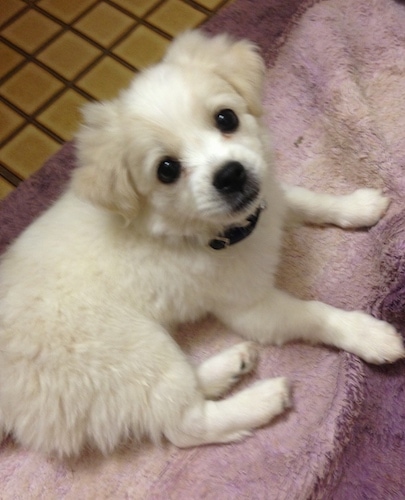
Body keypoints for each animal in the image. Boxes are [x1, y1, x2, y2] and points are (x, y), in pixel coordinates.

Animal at [0, 31, 404, 458]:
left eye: (226, 118)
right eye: (166, 170)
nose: (230, 175)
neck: (219, 232)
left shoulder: (268, 199)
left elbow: (307, 199)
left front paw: (358, 206)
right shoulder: (252, 309)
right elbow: (315, 314)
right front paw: (369, 335)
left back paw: (231, 366)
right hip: (134, 352)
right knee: (184, 424)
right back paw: (264, 398)